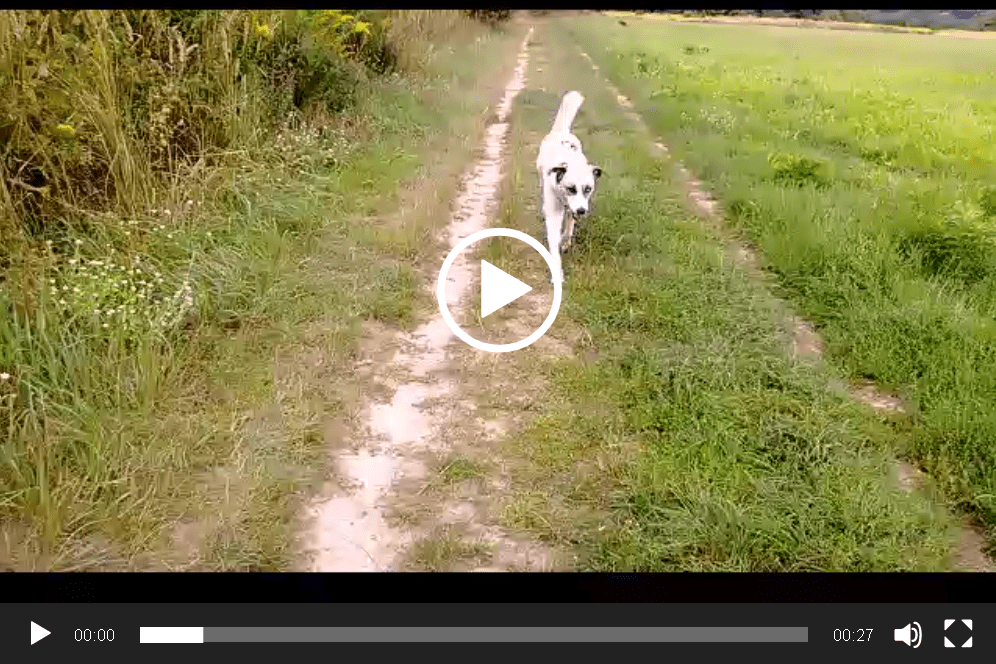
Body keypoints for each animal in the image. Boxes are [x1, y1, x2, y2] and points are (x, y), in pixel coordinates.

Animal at [536, 90, 600, 282]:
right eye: (571, 188)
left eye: (588, 189)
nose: (582, 211)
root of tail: (561, 132)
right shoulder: (554, 211)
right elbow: (553, 238)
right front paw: (557, 272)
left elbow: (569, 226)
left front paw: (566, 240)